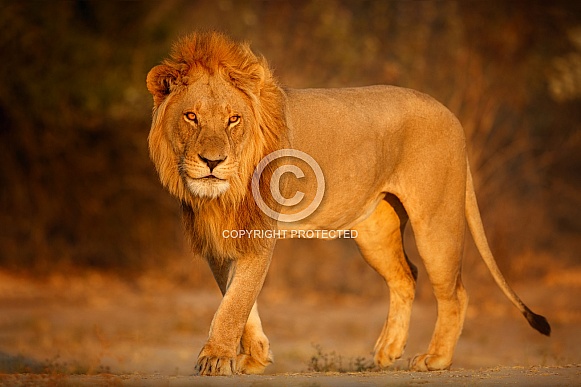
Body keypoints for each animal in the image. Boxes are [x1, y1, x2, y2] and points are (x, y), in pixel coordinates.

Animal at [145, 31, 548, 378]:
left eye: (233, 119)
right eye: (191, 116)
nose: (212, 162)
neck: (221, 196)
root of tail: (450, 114)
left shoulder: (258, 233)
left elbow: (236, 301)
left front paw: (216, 357)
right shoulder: (216, 239)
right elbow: (236, 298)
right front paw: (255, 356)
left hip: (436, 219)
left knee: (455, 291)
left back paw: (435, 358)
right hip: (374, 231)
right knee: (406, 276)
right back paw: (388, 349)